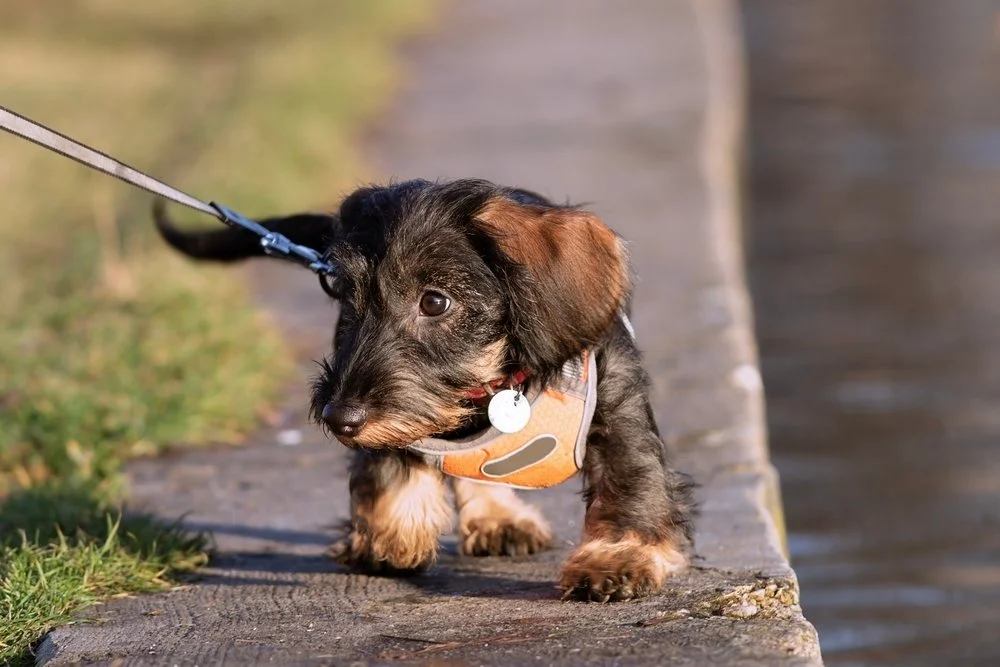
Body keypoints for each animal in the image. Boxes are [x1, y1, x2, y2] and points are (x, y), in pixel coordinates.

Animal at [154, 176, 696, 600]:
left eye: (435, 301)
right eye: (343, 296)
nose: (339, 420)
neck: (492, 383)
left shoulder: (618, 407)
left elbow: (631, 480)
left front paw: (617, 558)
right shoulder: (398, 415)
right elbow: (391, 465)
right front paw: (393, 533)